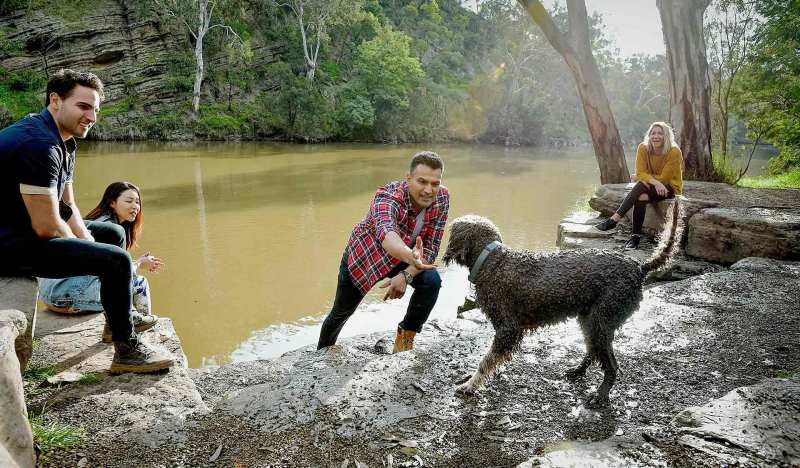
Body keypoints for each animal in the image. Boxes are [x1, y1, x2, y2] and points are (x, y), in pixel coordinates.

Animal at [444, 199, 680, 408]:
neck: (491, 260)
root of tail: (639, 268)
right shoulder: (506, 333)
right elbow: (495, 359)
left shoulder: (508, 329)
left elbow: (486, 361)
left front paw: (470, 385)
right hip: (590, 321)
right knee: (593, 351)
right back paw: (578, 371)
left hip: (600, 322)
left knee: (611, 366)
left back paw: (600, 395)